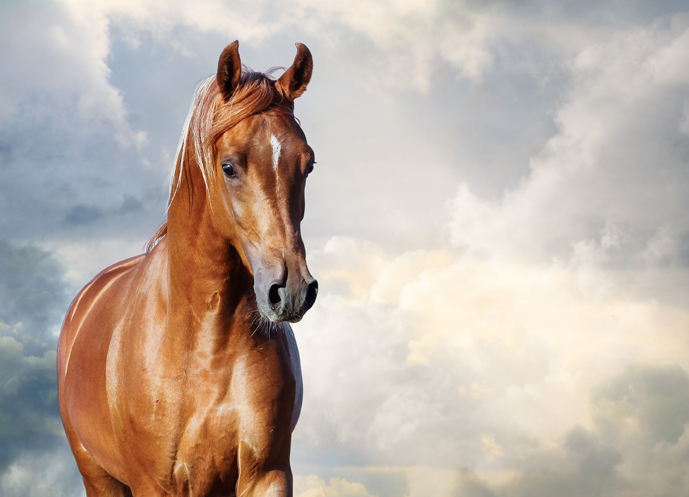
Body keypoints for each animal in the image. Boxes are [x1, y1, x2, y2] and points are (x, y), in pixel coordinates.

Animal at [57, 42, 320, 496]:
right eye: (229, 166)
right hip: (98, 476)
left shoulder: (266, 474)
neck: (205, 347)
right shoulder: (154, 483)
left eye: (308, 164)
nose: (291, 290)